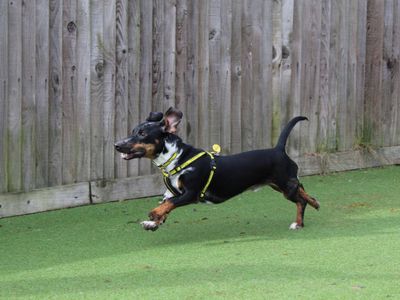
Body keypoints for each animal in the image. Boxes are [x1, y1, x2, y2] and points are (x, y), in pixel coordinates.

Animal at [115, 108, 318, 232]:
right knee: (302, 188)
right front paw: (153, 223)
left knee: (300, 199)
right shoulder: (171, 192)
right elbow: (166, 204)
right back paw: (315, 202)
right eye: (133, 131)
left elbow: (169, 204)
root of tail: (278, 149)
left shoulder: (191, 194)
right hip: (279, 184)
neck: (177, 158)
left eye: (142, 134)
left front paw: (154, 215)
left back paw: (299, 223)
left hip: (284, 186)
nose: (117, 145)